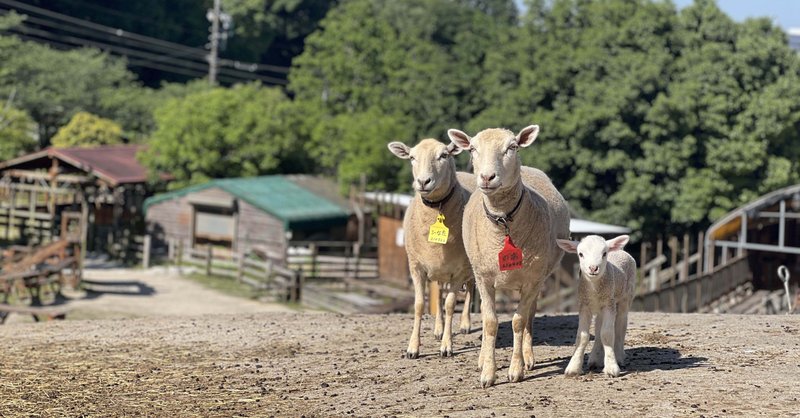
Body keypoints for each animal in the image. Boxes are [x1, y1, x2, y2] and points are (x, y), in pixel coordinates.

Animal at [388, 139, 476, 358]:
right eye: (412, 157)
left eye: (444, 155)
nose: (423, 182)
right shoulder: (417, 267)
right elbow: (420, 305)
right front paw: (413, 348)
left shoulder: (459, 270)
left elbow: (451, 304)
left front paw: (446, 346)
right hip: (437, 269)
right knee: (438, 295)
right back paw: (438, 329)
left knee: (470, 289)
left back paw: (464, 324)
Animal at [446, 125, 572, 386]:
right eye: (472, 149)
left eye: (512, 147)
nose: (487, 177)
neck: (503, 223)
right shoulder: (483, 278)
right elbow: (490, 323)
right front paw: (488, 373)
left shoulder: (532, 280)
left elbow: (518, 321)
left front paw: (516, 369)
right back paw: (483, 358)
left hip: (539, 277)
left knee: (530, 315)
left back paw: (528, 357)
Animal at [556, 235, 636, 378]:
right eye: (580, 254)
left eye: (604, 253)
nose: (593, 268)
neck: (594, 289)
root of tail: (620, 250)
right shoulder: (584, 305)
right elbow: (583, 336)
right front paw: (574, 367)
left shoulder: (609, 304)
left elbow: (607, 334)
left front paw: (611, 367)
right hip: (600, 307)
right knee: (599, 327)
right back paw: (595, 359)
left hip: (625, 298)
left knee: (621, 324)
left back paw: (619, 357)